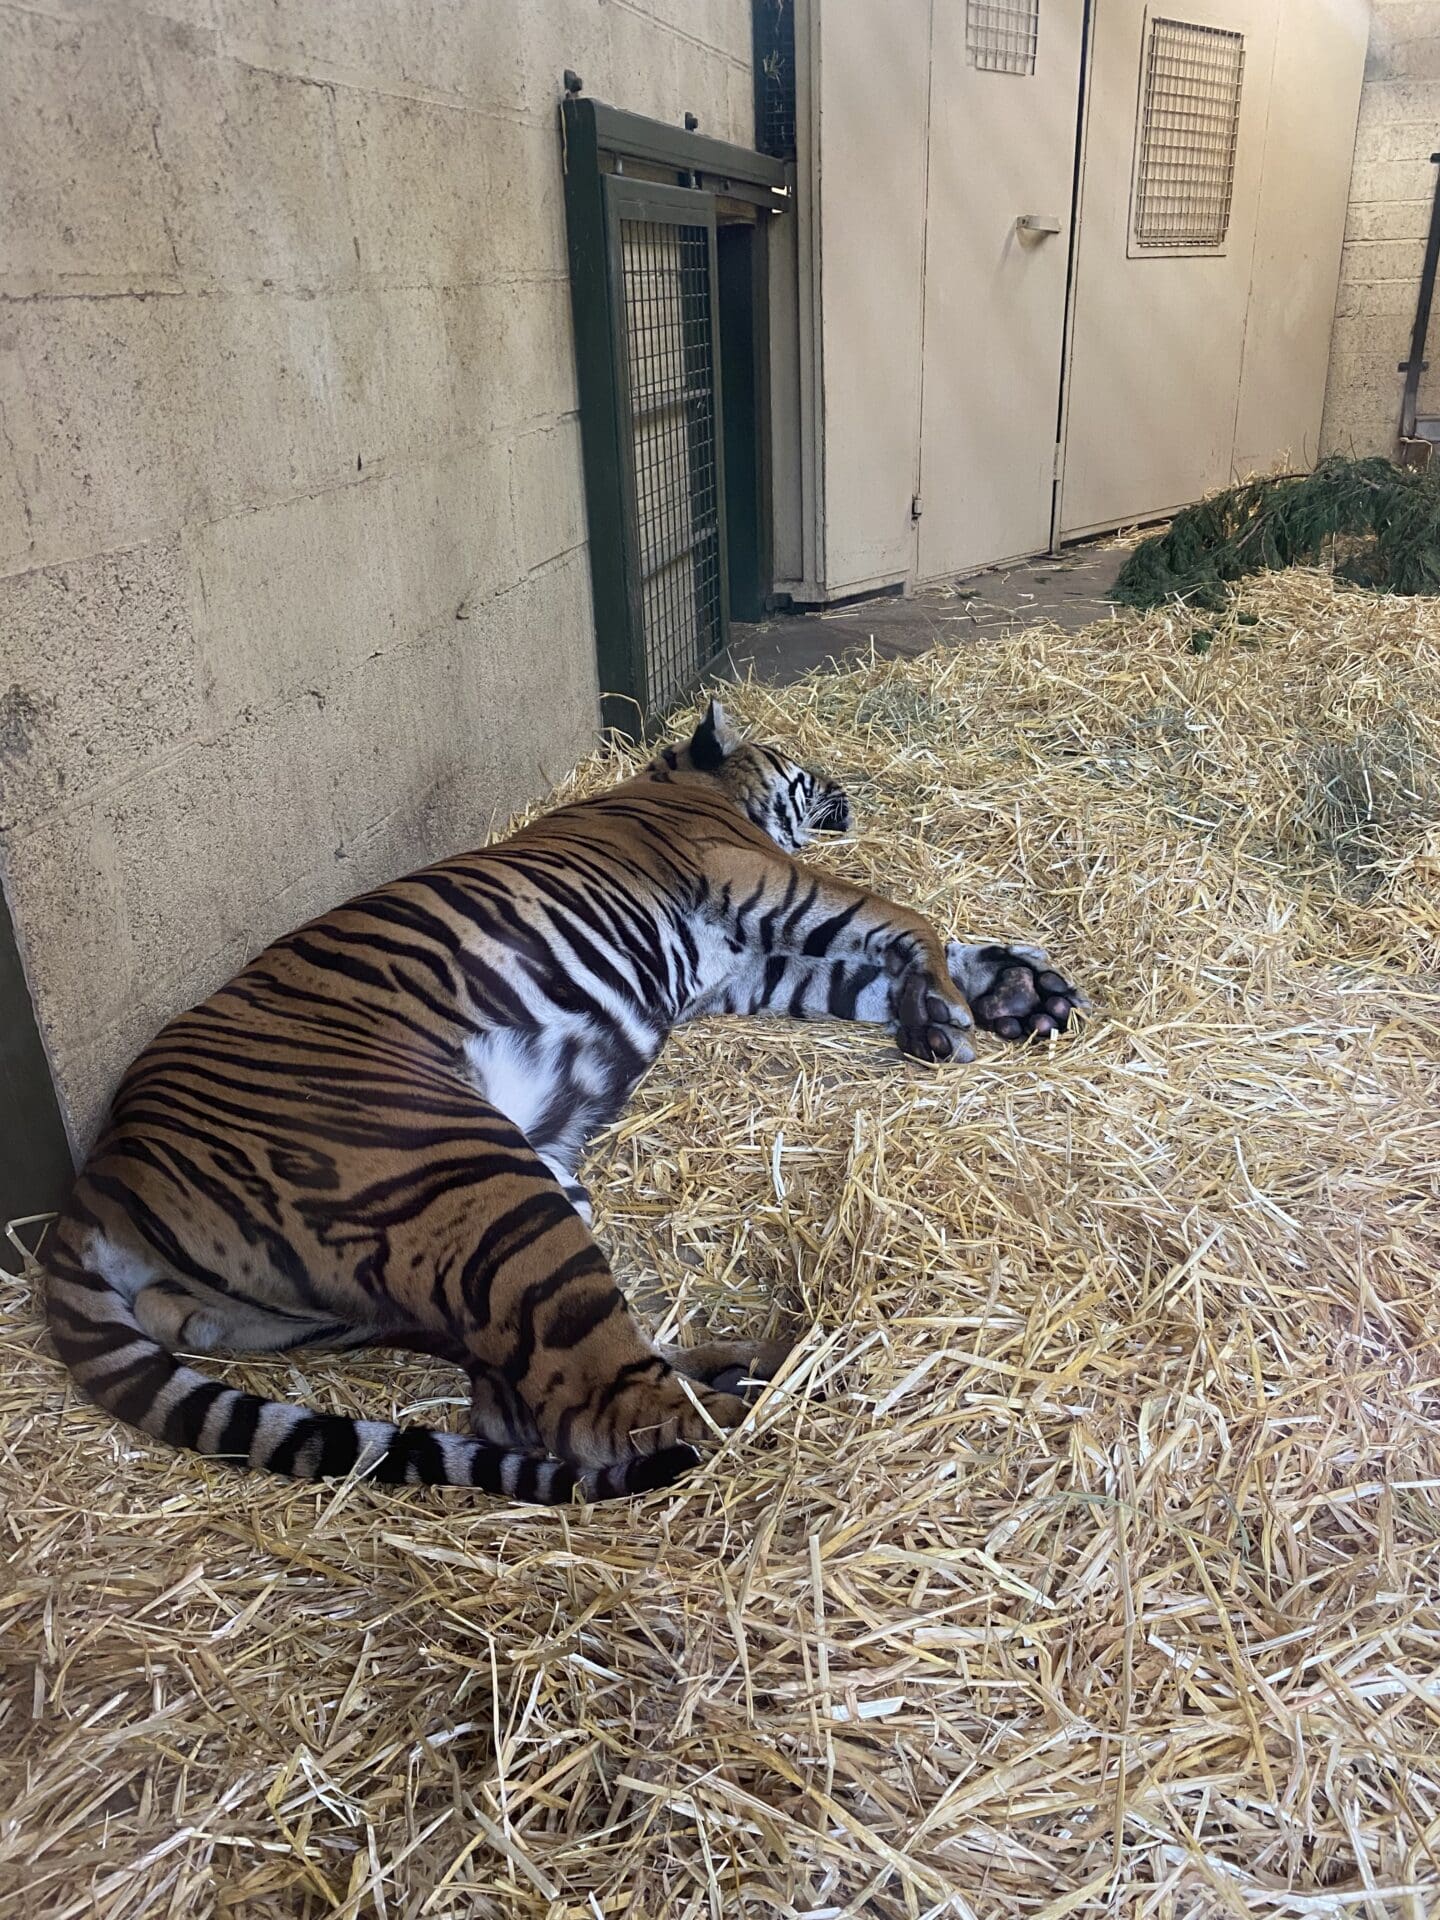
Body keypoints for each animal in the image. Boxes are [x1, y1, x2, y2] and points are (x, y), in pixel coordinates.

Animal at [43, 699, 1086, 1505]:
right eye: (798, 766)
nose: (841, 784)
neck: (687, 790)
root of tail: (99, 1175)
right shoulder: (758, 880)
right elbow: (906, 919)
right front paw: (954, 1001)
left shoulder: (750, 964)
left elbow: (877, 968)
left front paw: (1006, 994)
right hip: (473, 1179)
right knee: (600, 1412)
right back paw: (782, 1392)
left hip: (402, 1264)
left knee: (508, 1397)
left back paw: (750, 1360)